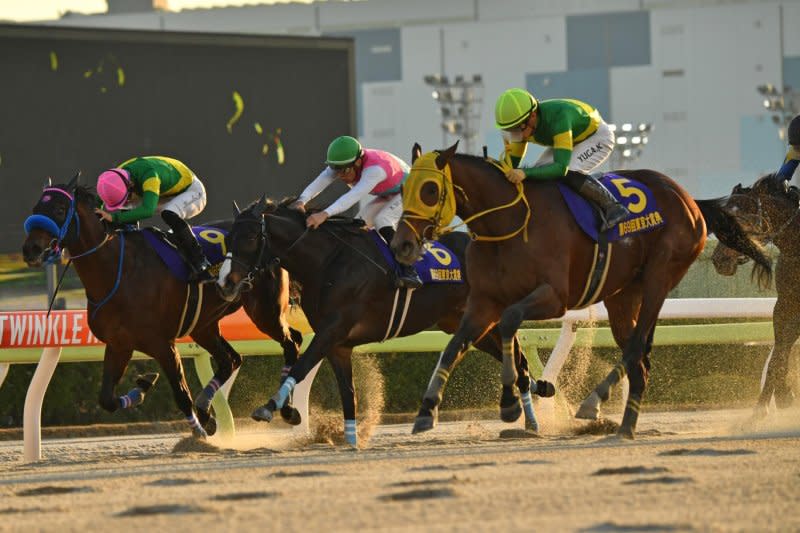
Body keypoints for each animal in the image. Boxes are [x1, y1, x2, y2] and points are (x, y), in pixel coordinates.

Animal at [22, 175, 304, 436]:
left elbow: (181, 395)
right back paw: (206, 409)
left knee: (292, 343)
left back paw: (285, 409)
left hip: (264, 311)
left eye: (60, 209)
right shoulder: (119, 344)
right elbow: (107, 399)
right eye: (36, 207)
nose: (30, 249)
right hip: (204, 324)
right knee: (231, 360)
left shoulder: (162, 344)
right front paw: (143, 387)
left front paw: (200, 435)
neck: (118, 271)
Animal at [219, 197, 556, 446]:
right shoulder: (338, 344)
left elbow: (301, 368)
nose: (226, 282)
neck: (329, 261)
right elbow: (348, 393)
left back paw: (532, 418)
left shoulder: (332, 330)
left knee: (519, 360)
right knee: (516, 361)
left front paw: (268, 408)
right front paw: (351, 440)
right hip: (465, 322)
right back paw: (536, 399)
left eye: (251, 237)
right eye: (229, 238)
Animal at [390, 143, 772, 438]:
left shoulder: (555, 298)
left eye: (430, 189)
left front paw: (509, 403)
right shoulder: (484, 301)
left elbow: (510, 322)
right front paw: (427, 411)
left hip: (660, 276)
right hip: (623, 295)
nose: (402, 245)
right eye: (403, 190)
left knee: (637, 346)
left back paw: (594, 403)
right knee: (640, 359)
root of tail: (689, 198)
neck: (508, 224)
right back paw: (625, 427)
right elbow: (453, 347)